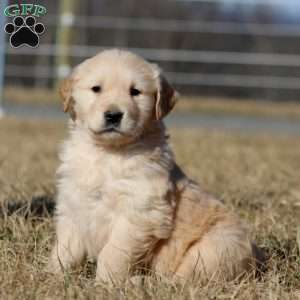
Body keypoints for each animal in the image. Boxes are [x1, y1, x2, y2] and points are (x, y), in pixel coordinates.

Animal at [48, 49, 260, 284]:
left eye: (135, 92)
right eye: (96, 89)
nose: (113, 115)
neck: (107, 154)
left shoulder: (140, 212)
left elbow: (113, 252)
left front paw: (106, 283)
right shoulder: (74, 205)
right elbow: (65, 248)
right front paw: (52, 275)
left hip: (214, 249)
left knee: (180, 281)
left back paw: (139, 282)